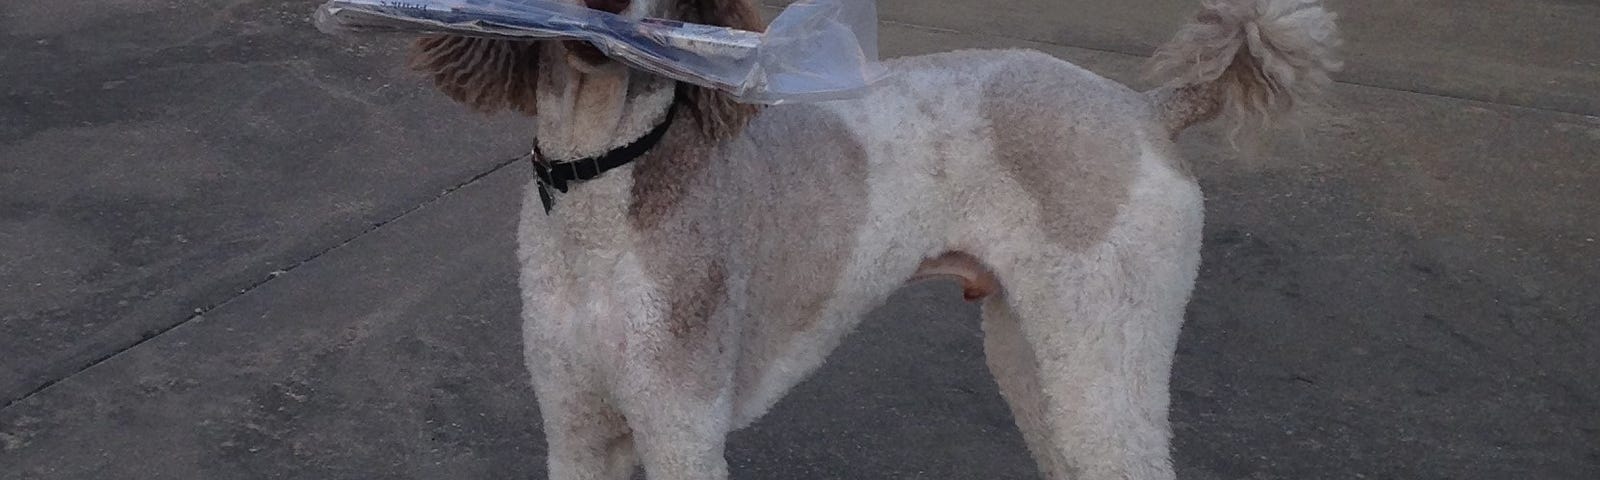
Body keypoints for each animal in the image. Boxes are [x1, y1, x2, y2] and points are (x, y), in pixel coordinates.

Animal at [403, 1, 1337, 476]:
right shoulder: (577, 428)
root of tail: (1145, 110)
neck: (606, 179)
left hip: (1108, 352)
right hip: (1037, 352)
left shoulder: (680, 426)